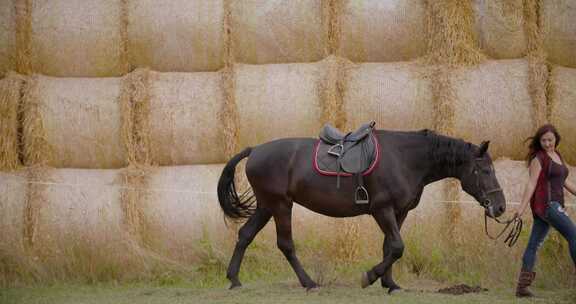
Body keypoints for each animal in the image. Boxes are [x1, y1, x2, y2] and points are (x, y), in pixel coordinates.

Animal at [216, 127, 504, 292]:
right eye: (485, 170)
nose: (500, 206)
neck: (404, 159)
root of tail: (255, 150)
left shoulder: (399, 212)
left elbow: (389, 247)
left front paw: (390, 284)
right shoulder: (382, 210)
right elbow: (397, 247)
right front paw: (370, 277)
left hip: (266, 206)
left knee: (245, 235)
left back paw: (234, 280)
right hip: (280, 205)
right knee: (285, 244)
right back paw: (309, 283)